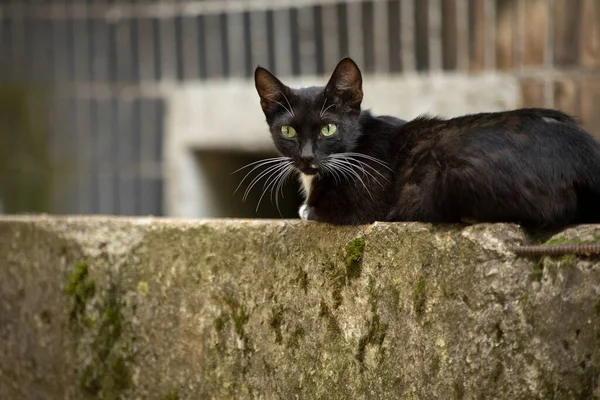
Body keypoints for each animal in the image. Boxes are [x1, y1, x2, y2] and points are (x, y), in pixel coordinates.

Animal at [252, 57, 600, 228]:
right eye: (288, 132)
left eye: (327, 128)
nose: (307, 157)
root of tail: (586, 154)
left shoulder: (362, 201)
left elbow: (320, 211)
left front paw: (306, 209)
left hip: (451, 174)